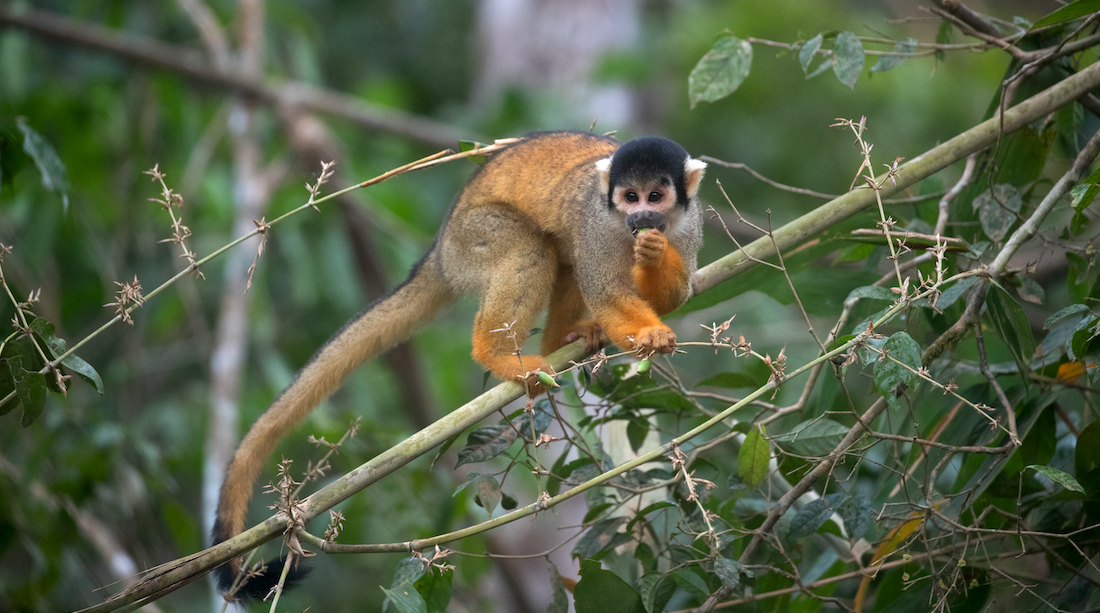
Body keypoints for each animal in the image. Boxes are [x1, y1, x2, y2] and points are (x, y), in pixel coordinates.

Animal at [214, 130, 704, 598]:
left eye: (655, 196)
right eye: (630, 197)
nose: (641, 219)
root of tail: (440, 250)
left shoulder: (691, 223)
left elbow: (676, 294)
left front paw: (655, 256)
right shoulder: (598, 226)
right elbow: (605, 292)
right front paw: (647, 331)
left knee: (559, 256)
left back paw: (563, 339)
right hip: (475, 238)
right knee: (531, 248)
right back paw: (498, 353)